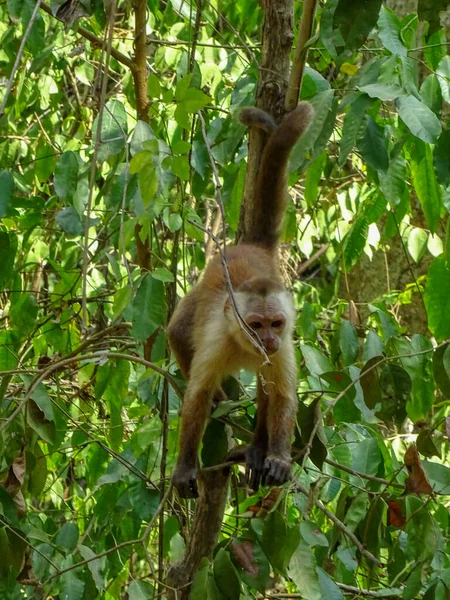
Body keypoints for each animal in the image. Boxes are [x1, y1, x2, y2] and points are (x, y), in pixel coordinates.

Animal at [168, 102, 312, 496]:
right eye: (255, 325)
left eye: (276, 323)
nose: (268, 340)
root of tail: (251, 247)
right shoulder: (219, 337)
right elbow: (197, 397)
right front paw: (185, 466)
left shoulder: (286, 343)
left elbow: (283, 397)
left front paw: (277, 456)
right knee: (178, 331)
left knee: (266, 386)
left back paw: (257, 451)